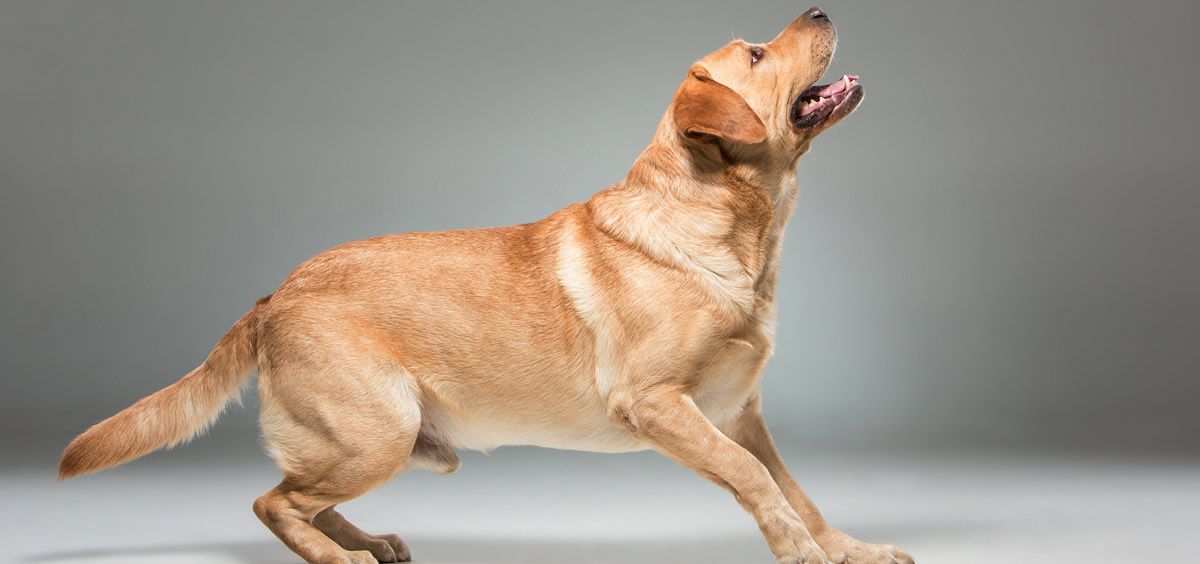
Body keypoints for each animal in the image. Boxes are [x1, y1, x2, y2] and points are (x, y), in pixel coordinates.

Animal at [60, 8, 912, 564]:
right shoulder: (660, 404)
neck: (733, 231)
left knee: (299, 493)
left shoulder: (739, 415)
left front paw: (847, 550)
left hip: (380, 440)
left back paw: (368, 541)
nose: (820, 5)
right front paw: (804, 554)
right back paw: (343, 557)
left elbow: (795, 490)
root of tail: (276, 293)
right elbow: (755, 482)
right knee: (275, 500)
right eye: (759, 55)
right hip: (379, 429)